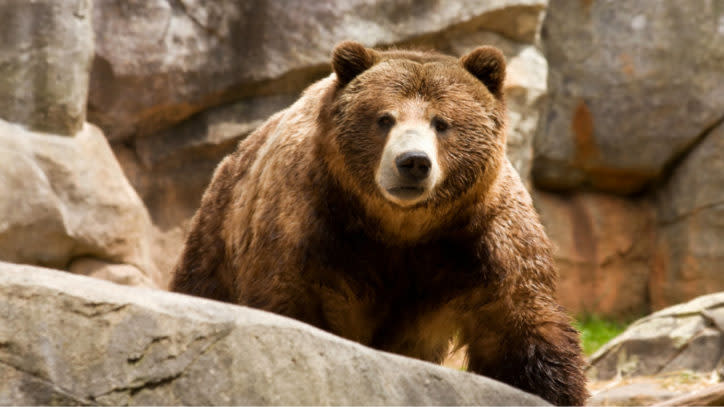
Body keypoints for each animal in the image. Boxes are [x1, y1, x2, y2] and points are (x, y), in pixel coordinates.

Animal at [174, 40, 588, 404]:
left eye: (441, 123)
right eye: (384, 118)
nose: (413, 162)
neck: (401, 227)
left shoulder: (483, 236)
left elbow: (519, 329)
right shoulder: (309, 223)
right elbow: (288, 303)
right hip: (218, 236)